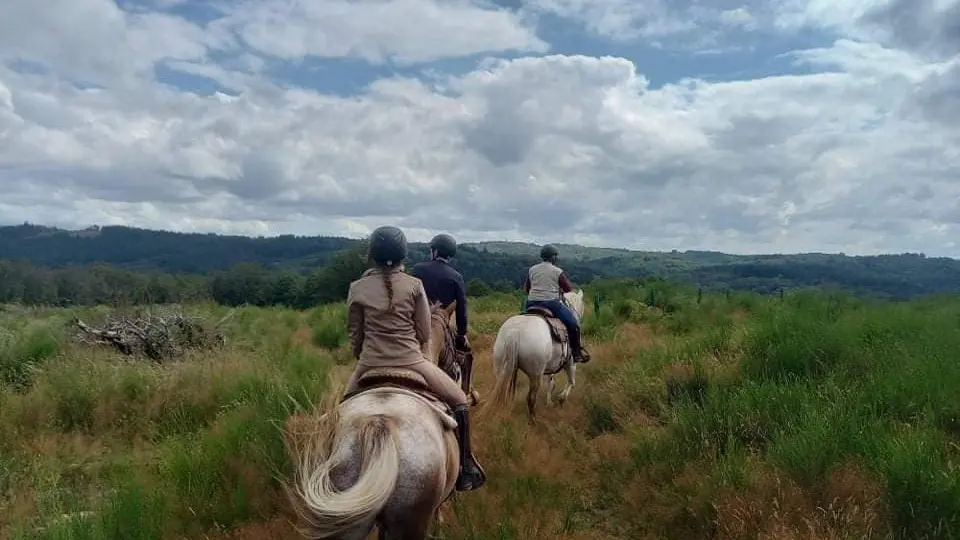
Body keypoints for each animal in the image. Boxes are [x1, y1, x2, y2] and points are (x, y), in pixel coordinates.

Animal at [488, 288, 584, 424]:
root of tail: (515, 332)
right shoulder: (570, 362)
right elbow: (571, 382)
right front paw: (561, 399)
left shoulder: (551, 365)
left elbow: (551, 383)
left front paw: (549, 402)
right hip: (535, 374)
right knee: (531, 398)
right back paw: (533, 420)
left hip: (501, 369)